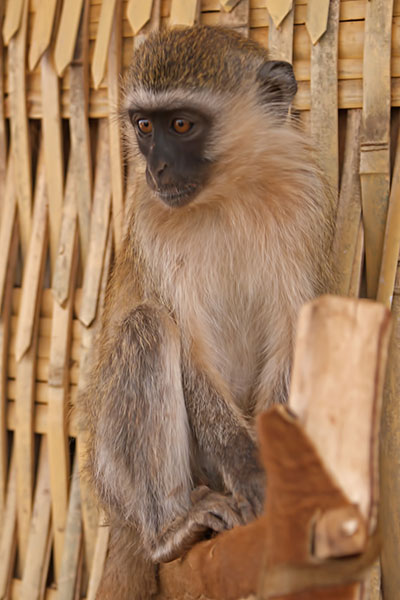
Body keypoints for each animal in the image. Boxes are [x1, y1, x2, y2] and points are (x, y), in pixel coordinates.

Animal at [79, 24, 334, 600]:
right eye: (144, 126)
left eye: (181, 124)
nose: (156, 168)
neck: (227, 194)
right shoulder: (150, 220)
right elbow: (188, 349)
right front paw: (251, 468)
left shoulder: (303, 205)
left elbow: (294, 333)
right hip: (113, 475)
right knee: (147, 328)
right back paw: (170, 531)